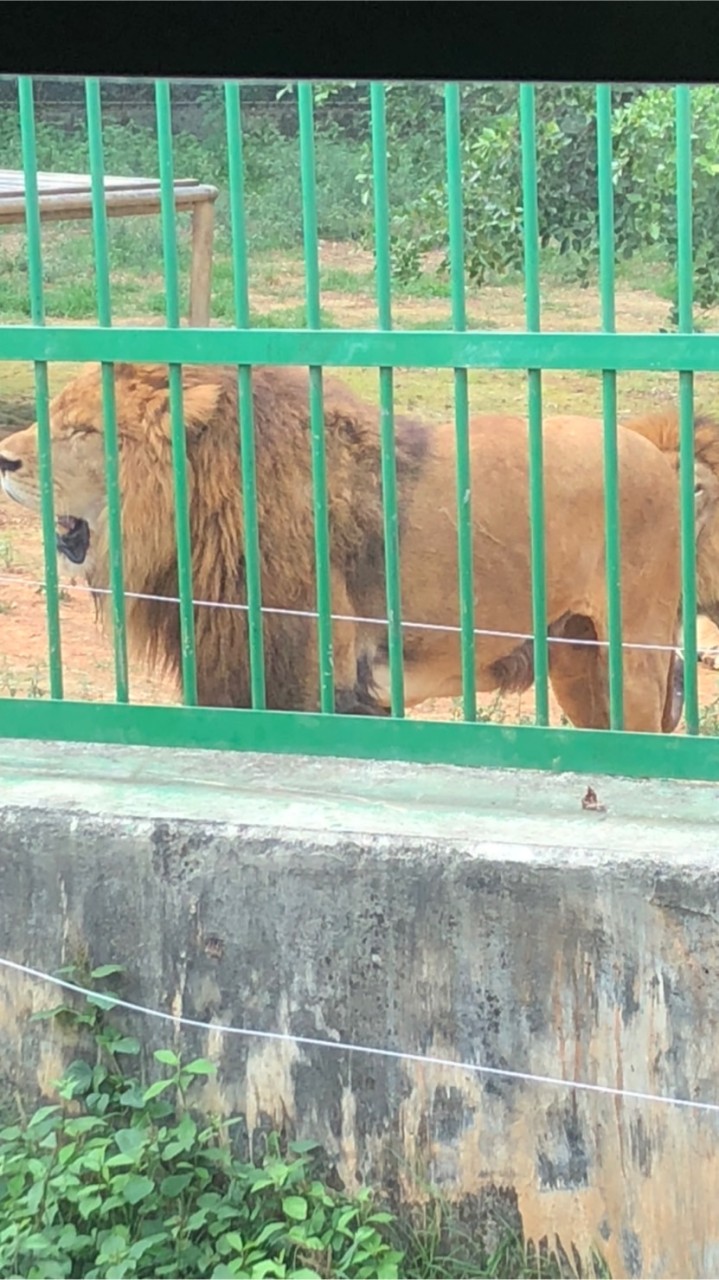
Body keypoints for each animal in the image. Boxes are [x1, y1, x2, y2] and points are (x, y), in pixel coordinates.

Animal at [0, 366, 685, 737]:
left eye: (84, 431)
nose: (4, 457)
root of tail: (655, 451)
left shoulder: (313, 681)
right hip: (576, 661)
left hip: (634, 654)